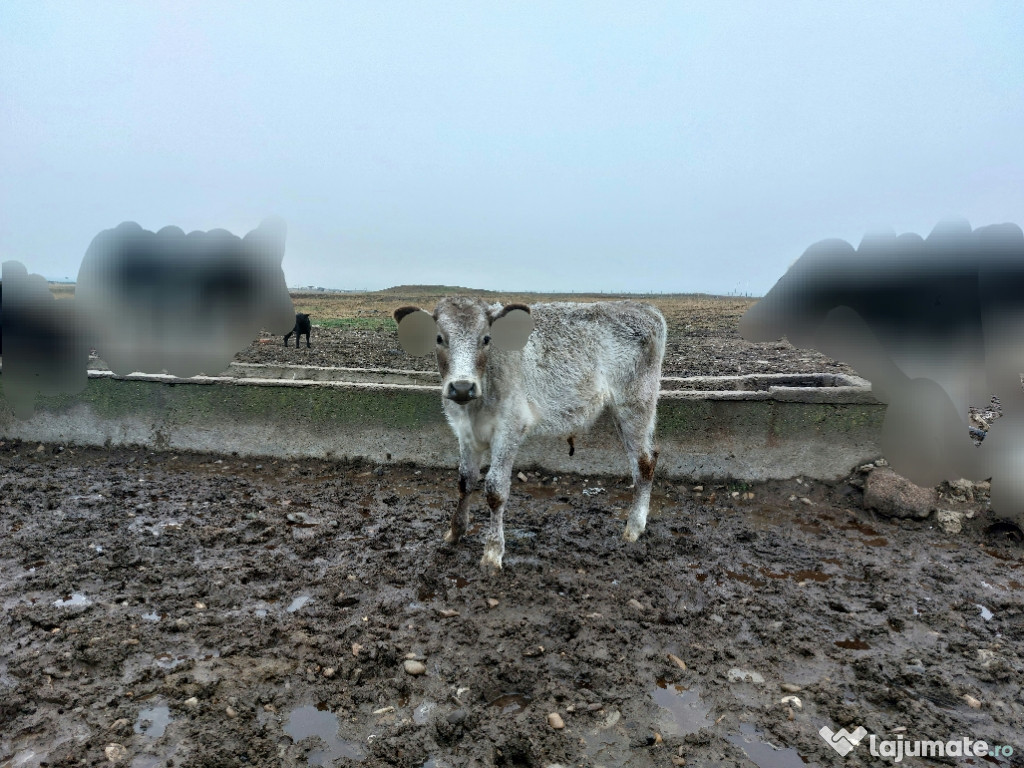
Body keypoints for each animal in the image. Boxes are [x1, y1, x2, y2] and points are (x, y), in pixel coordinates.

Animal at [389, 296, 663, 569]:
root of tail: (643, 307)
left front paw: (492, 552)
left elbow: (495, 490)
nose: (463, 387)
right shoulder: (465, 433)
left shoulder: (510, 429)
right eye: (439, 338)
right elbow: (465, 481)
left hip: (636, 404)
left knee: (644, 463)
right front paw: (455, 532)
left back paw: (634, 528)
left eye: (486, 339)